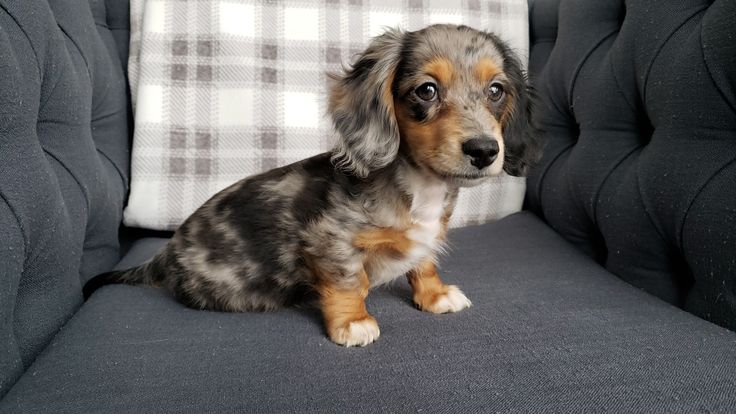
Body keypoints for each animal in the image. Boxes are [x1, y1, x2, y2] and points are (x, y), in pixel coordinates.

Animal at [85, 25, 540, 346]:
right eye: (427, 90)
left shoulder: (424, 240)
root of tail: (166, 254)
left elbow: (423, 263)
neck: (417, 186)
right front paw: (353, 322)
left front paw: (434, 295)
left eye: (496, 90)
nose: (484, 150)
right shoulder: (330, 242)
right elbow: (350, 282)